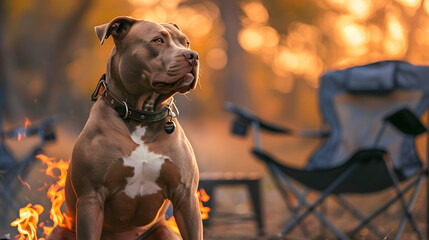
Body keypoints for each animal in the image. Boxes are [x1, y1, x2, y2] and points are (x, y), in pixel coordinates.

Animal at [49, 16, 203, 240]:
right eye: (158, 40)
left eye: (186, 43)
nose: (193, 55)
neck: (142, 117)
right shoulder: (90, 197)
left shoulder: (186, 196)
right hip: (61, 230)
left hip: (164, 231)